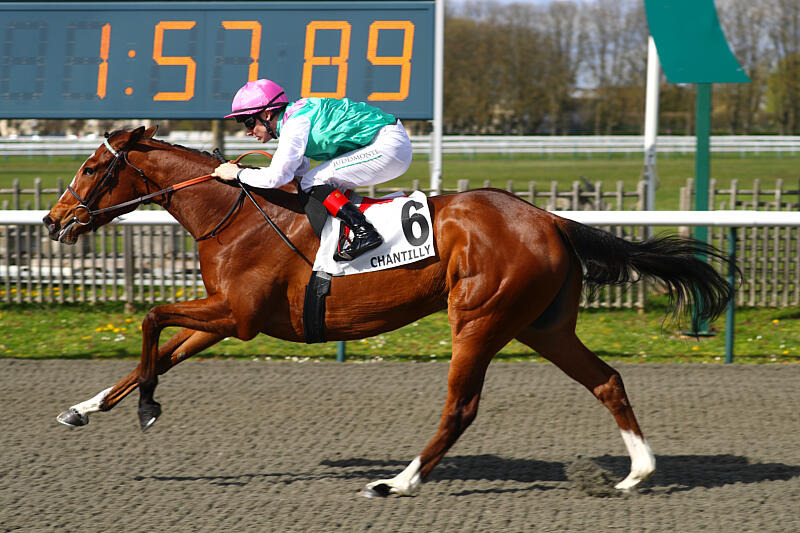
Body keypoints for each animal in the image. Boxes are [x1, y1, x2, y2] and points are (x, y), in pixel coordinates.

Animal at [44, 126, 735, 497]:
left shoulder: (235, 315)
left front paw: (147, 408)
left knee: (462, 407)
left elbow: (152, 319)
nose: (53, 221)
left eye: (92, 166)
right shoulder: (231, 319)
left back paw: (399, 481)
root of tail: (551, 220)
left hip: (479, 319)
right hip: (543, 326)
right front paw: (84, 408)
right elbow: (160, 350)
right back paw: (637, 473)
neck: (234, 213)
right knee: (607, 380)